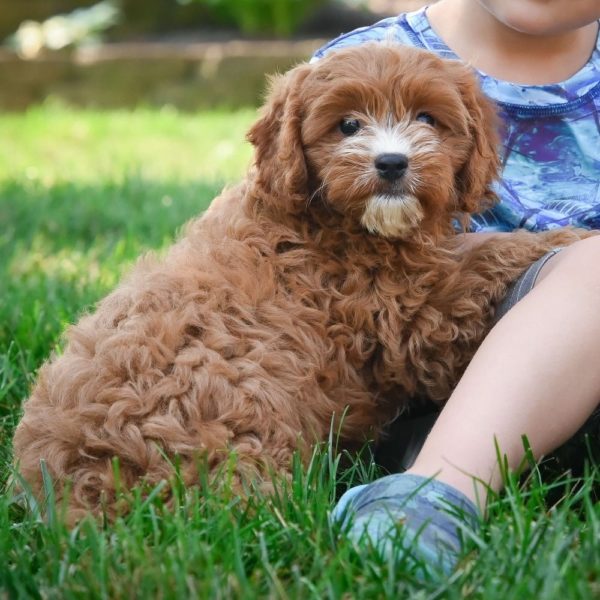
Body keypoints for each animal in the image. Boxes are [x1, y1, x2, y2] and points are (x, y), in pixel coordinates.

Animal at [12, 43, 584, 520]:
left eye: (428, 118)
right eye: (348, 125)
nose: (392, 163)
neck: (325, 218)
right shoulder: (403, 310)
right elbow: (480, 258)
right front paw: (574, 237)